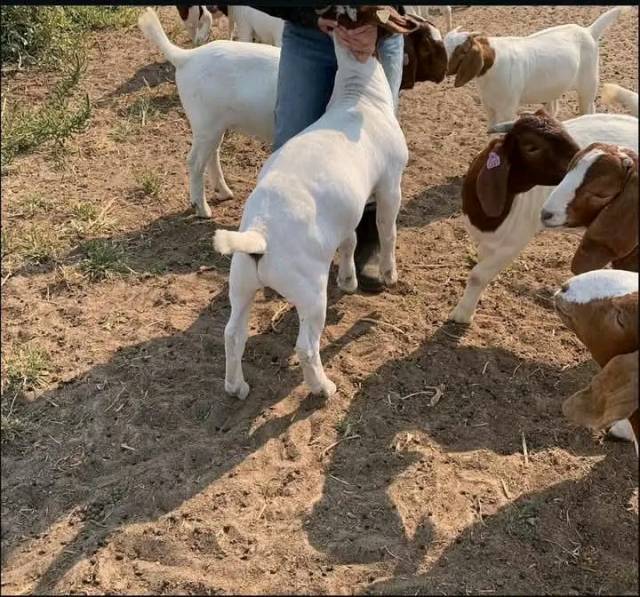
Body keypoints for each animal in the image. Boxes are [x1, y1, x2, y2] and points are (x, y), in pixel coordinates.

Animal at [138, 8, 280, 217]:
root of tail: (186, 57)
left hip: (216, 124)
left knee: (213, 153)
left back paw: (224, 192)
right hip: (205, 122)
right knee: (195, 161)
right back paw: (203, 209)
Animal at [443, 7, 629, 129]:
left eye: (461, 51)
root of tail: (588, 31)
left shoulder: (506, 109)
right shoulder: (489, 106)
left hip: (588, 84)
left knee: (588, 108)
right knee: (553, 108)